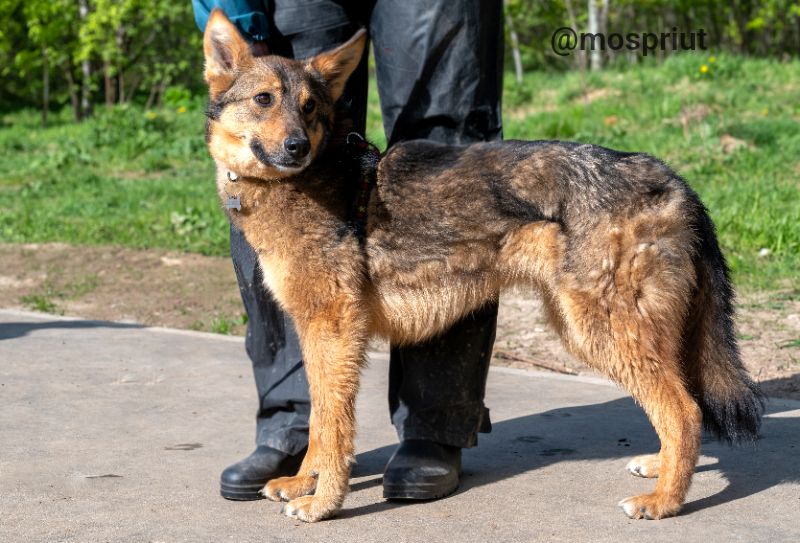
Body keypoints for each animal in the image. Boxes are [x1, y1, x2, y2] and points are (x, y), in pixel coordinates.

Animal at [200, 9, 764, 524]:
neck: (312, 180)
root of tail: (672, 179)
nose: (296, 147)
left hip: (603, 332)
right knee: (681, 406)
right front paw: (303, 483)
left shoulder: (334, 332)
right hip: (612, 332)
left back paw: (664, 502)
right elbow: (318, 423)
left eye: (310, 107)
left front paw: (322, 503)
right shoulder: (317, 334)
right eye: (264, 99)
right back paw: (660, 469)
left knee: (686, 412)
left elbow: (332, 426)